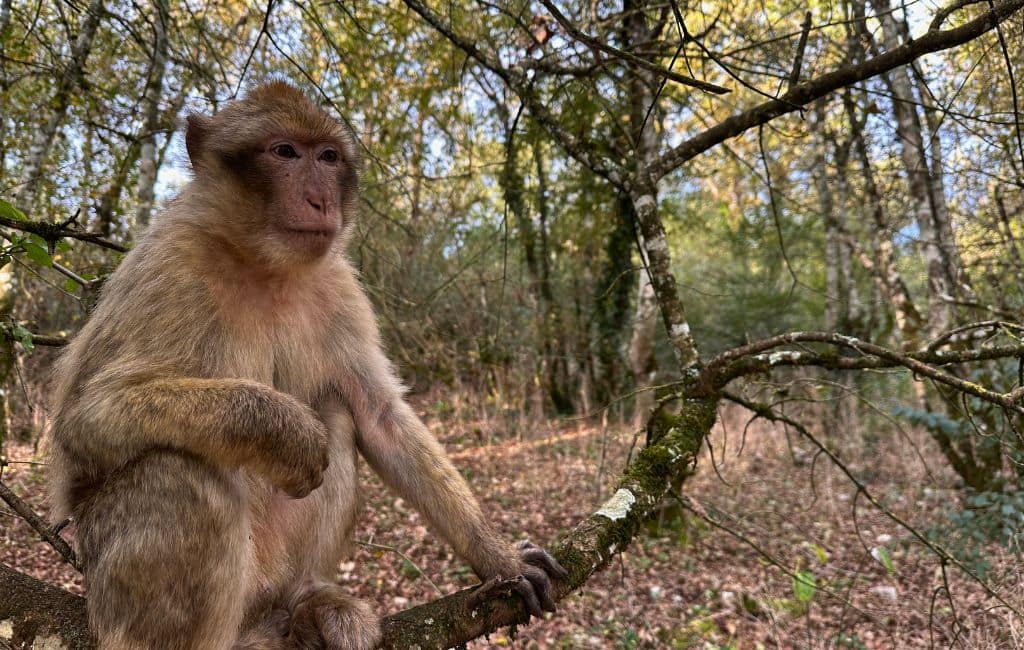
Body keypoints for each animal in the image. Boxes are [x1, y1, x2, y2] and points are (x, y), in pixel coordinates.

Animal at [47, 81, 567, 650]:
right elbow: (85, 419)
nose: (321, 200)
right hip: (116, 589)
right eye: (285, 152)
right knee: (178, 469)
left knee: (337, 412)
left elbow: (379, 417)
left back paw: (308, 604)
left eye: (328, 157)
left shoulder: (340, 287)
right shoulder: (168, 264)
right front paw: (282, 428)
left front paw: (498, 558)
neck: (266, 266)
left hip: (271, 574)